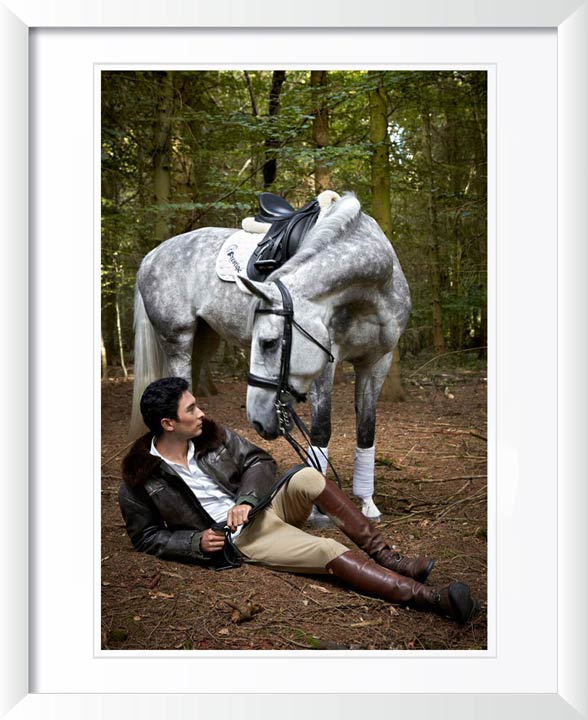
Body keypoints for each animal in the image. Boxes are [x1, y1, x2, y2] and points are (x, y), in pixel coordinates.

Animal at [129, 192, 411, 519]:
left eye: (268, 342)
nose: (256, 419)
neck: (372, 290)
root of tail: (151, 257)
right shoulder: (325, 364)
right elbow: (321, 430)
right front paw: (319, 506)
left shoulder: (377, 362)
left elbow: (366, 430)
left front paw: (367, 502)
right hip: (178, 340)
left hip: (204, 341)